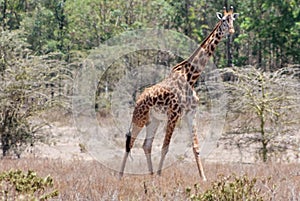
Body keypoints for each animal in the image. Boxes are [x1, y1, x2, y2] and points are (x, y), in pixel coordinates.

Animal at [119, 6, 239, 181]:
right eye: (223, 20)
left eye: (233, 20)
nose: (231, 31)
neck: (191, 77)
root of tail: (138, 100)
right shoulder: (174, 114)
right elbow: (165, 146)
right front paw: (161, 176)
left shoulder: (191, 113)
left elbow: (195, 146)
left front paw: (203, 178)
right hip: (139, 118)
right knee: (130, 143)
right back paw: (121, 176)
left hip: (153, 120)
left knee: (146, 145)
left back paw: (151, 175)